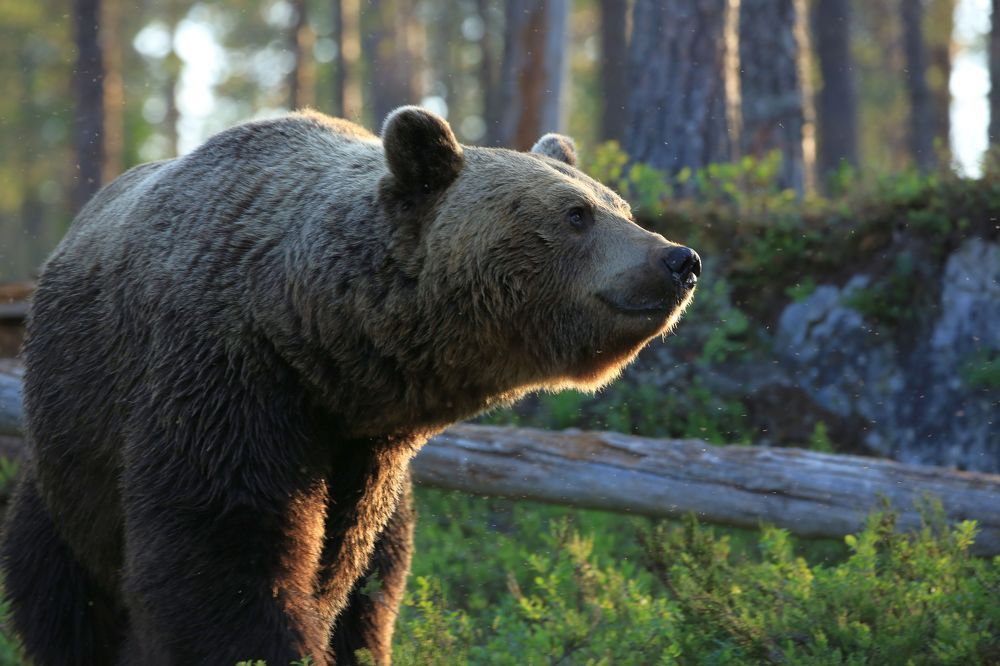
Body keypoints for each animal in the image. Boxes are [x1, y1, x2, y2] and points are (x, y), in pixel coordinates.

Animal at [0, 107, 700, 665]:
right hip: (72, 445)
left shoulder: (366, 452)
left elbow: (343, 561)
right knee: (60, 585)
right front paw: (269, 646)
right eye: (576, 214)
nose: (680, 260)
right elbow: (225, 546)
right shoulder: (223, 378)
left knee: (379, 586)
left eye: (621, 206)